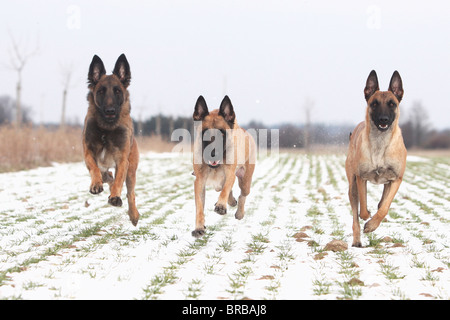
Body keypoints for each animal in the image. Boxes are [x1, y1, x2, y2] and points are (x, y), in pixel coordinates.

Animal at [346, 70, 406, 248]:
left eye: (392, 104)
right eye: (374, 104)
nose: (383, 119)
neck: (380, 142)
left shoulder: (396, 179)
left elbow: (384, 207)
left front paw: (373, 225)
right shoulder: (361, 178)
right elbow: (364, 207)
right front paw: (367, 218)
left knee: (382, 203)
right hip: (352, 186)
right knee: (355, 216)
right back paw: (357, 240)